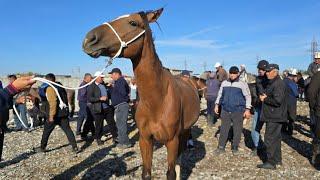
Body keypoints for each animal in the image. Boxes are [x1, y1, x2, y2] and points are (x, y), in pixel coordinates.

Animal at [83, 8, 200, 180]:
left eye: (133, 22)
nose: (89, 38)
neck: (157, 101)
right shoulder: (145, 139)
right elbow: (146, 173)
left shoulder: (172, 141)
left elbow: (171, 172)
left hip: (184, 132)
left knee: (180, 157)